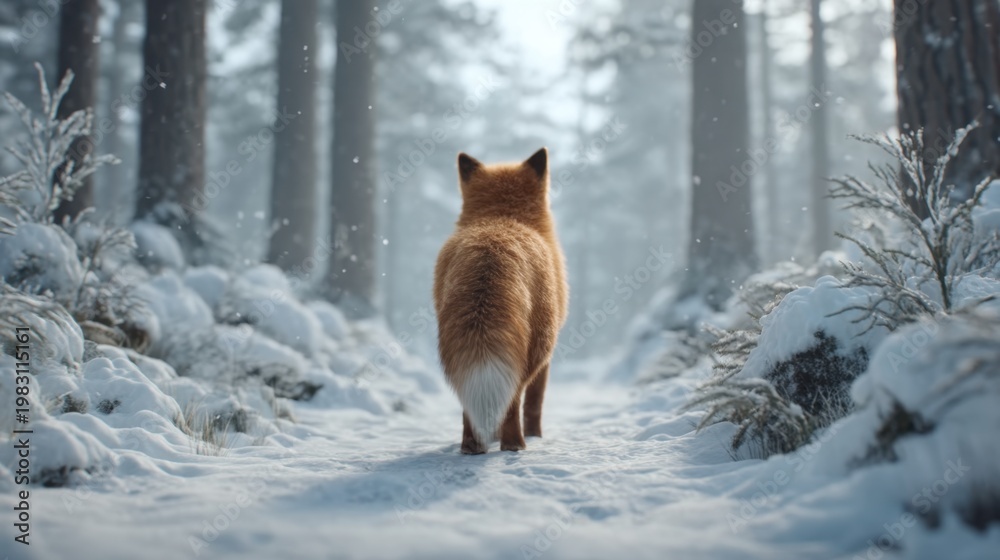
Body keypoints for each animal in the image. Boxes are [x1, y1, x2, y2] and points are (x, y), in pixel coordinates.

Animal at [434, 147, 568, 454]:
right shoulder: (547, 358)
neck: (502, 215)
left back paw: (473, 447)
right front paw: (535, 436)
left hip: (459, 348)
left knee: (468, 404)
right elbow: (534, 404)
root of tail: (491, 247)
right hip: (535, 348)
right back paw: (515, 445)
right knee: (514, 399)